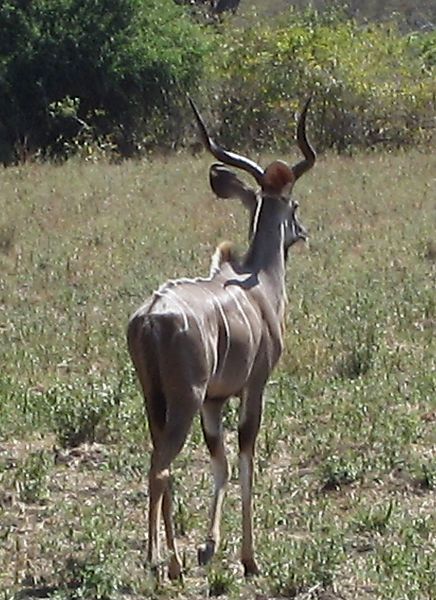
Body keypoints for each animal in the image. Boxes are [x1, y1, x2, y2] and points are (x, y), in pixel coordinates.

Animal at [127, 96, 316, 580]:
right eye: (295, 204)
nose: (303, 232)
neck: (258, 282)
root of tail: (151, 317)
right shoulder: (254, 387)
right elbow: (245, 458)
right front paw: (249, 559)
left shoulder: (214, 401)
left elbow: (220, 462)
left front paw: (208, 547)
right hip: (184, 402)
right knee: (160, 469)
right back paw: (164, 561)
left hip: (156, 402)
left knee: (159, 463)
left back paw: (165, 558)